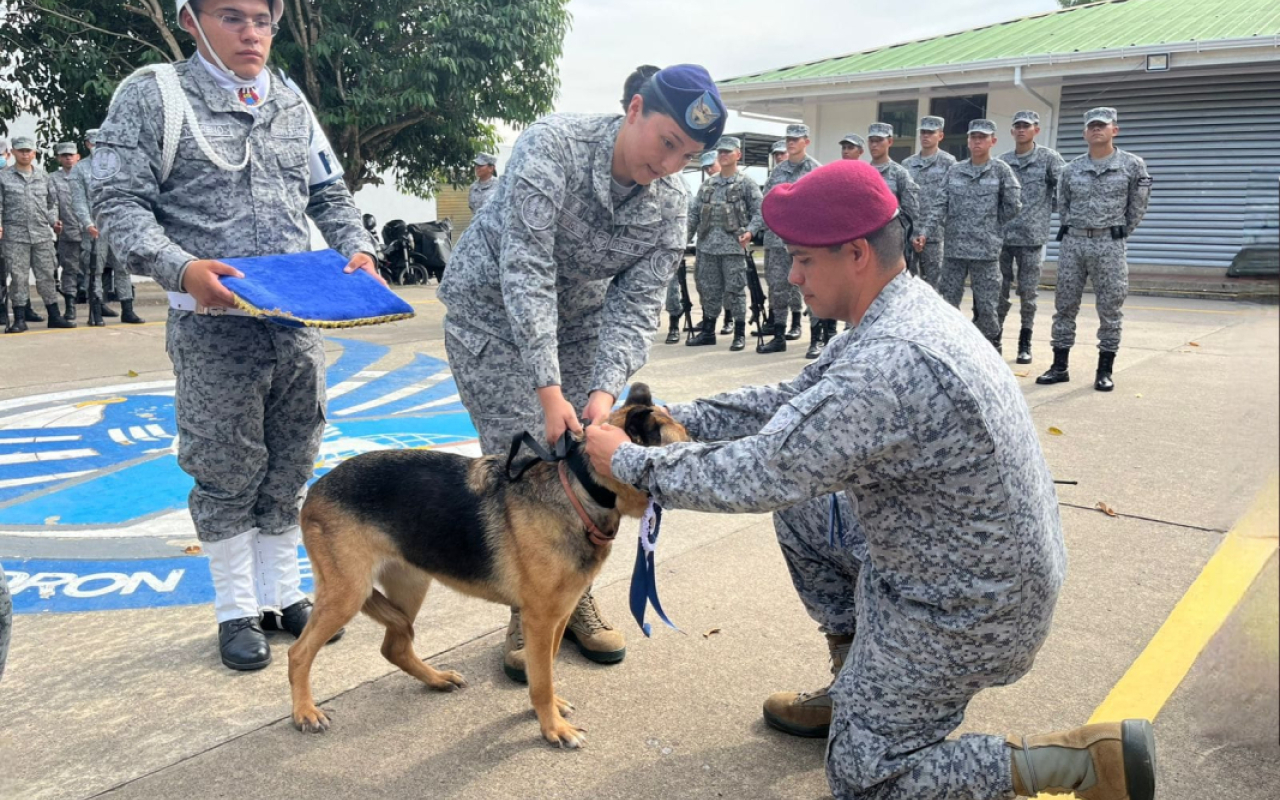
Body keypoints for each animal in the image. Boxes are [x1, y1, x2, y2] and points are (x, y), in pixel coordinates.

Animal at [288, 384, 691, 747]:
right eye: (681, 447)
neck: (581, 489)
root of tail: (315, 488)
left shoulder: (558, 615)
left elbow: (545, 669)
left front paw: (547, 711)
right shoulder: (539, 619)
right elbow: (541, 678)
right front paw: (552, 728)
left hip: (411, 584)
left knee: (394, 647)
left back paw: (436, 679)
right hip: (349, 593)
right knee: (299, 652)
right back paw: (304, 711)